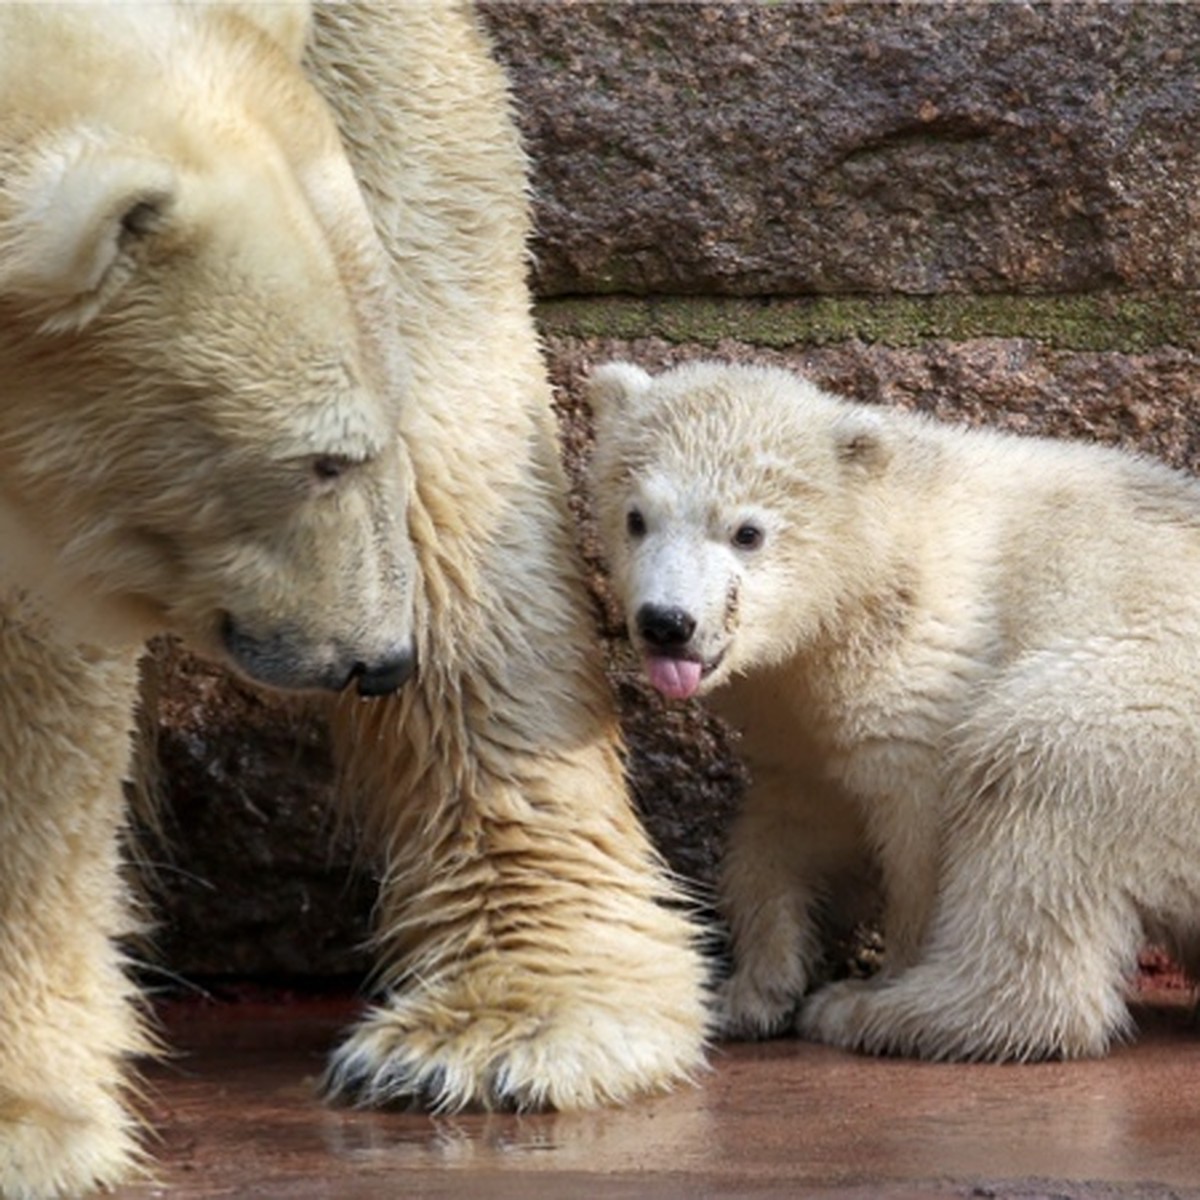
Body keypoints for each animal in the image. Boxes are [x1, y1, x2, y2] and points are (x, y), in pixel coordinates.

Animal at [592, 360, 1200, 1065]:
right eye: (637, 518)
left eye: (748, 532)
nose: (667, 623)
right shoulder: (800, 719)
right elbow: (790, 823)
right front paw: (750, 989)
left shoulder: (924, 667)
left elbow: (921, 839)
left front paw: (880, 975)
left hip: (1146, 718)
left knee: (1034, 768)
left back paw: (887, 1013)